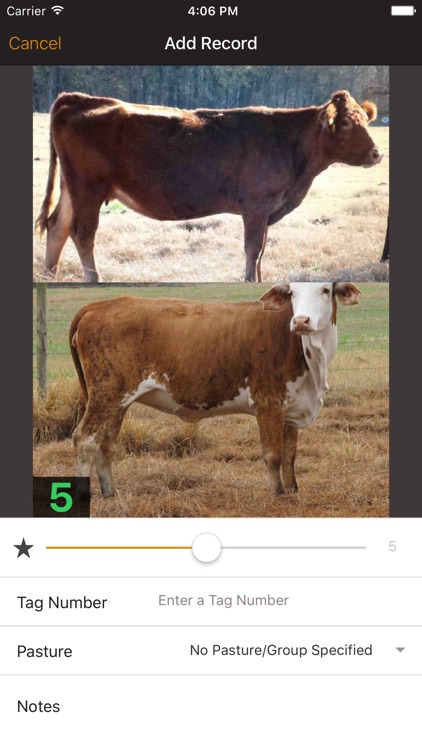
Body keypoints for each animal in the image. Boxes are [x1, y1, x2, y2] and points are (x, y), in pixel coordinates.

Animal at [36, 90, 382, 283]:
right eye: (346, 122)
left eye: (366, 120)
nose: (377, 153)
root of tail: (76, 99)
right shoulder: (256, 205)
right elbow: (253, 248)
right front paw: (249, 282)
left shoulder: (267, 210)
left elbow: (261, 250)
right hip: (89, 188)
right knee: (82, 233)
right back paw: (94, 280)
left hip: (72, 189)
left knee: (57, 226)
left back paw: (49, 276)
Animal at [69, 282, 361, 498]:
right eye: (292, 293)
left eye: (325, 289)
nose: (301, 320)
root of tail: (98, 306)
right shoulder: (268, 402)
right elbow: (273, 454)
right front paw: (276, 494)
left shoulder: (293, 405)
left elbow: (290, 454)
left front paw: (291, 491)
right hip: (106, 395)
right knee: (85, 439)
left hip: (116, 401)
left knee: (104, 440)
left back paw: (110, 493)